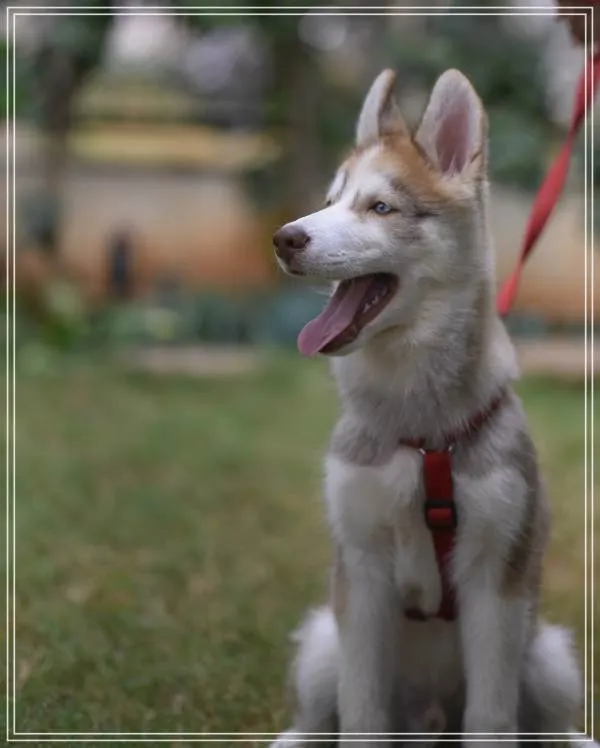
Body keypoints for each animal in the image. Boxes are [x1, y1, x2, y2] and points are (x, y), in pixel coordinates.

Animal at [270, 68, 588, 748]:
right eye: (331, 199)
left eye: (380, 207)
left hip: (549, 657)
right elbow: (361, 713)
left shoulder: (496, 575)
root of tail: (430, 720)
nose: (284, 239)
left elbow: (492, 718)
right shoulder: (361, 571)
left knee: (547, 722)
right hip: (323, 644)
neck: (419, 428)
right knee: (316, 716)